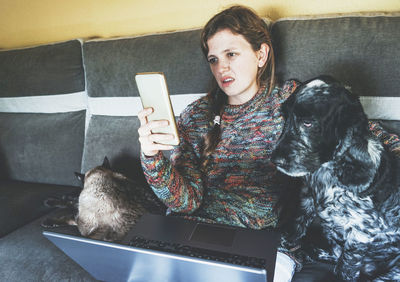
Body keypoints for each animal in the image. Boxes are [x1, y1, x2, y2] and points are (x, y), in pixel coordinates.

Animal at [272, 76, 400, 280]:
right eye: (285, 117)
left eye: (308, 123)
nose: (275, 160)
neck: (325, 172)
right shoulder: (306, 198)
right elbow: (298, 222)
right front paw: (283, 240)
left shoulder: (361, 232)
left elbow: (346, 265)